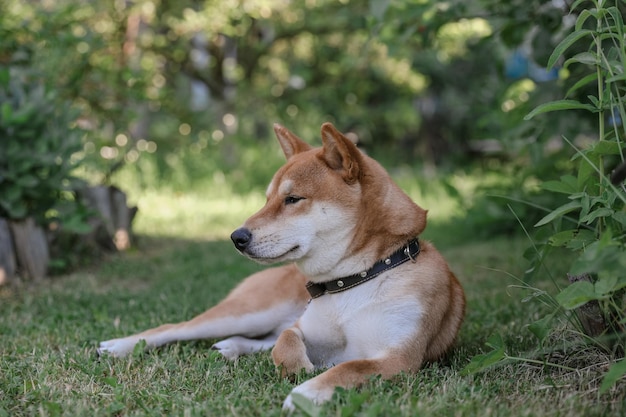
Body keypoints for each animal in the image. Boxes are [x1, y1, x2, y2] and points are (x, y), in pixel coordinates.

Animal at [100, 122, 464, 410]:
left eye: (293, 199)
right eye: (267, 199)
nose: (236, 237)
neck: (356, 278)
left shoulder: (399, 358)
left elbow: (346, 368)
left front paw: (304, 393)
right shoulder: (304, 328)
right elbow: (286, 343)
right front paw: (300, 370)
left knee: (263, 339)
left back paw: (232, 346)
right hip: (250, 311)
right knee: (177, 328)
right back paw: (121, 345)